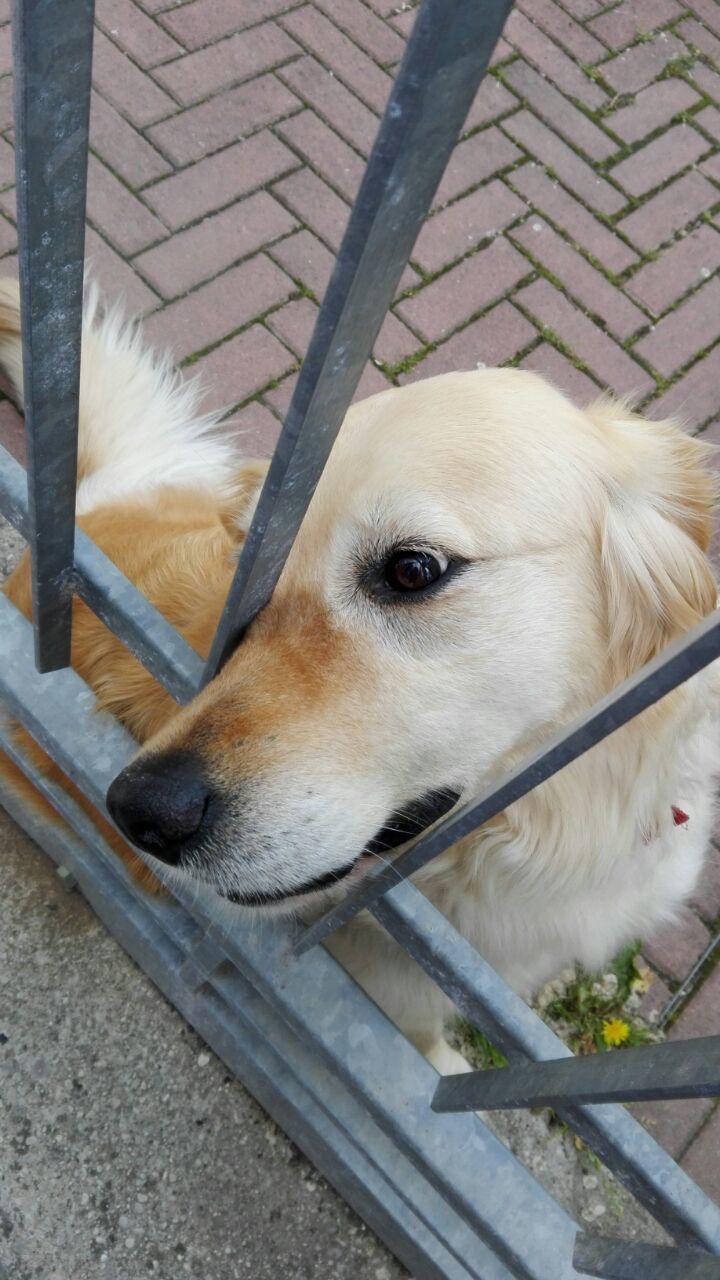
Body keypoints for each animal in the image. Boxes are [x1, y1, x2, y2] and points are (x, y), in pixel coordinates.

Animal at [0, 280, 712, 1070]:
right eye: (253, 577)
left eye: (412, 570)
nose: (142, 812)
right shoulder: (398, 997)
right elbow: (423, 1039)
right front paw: (441, 1065)